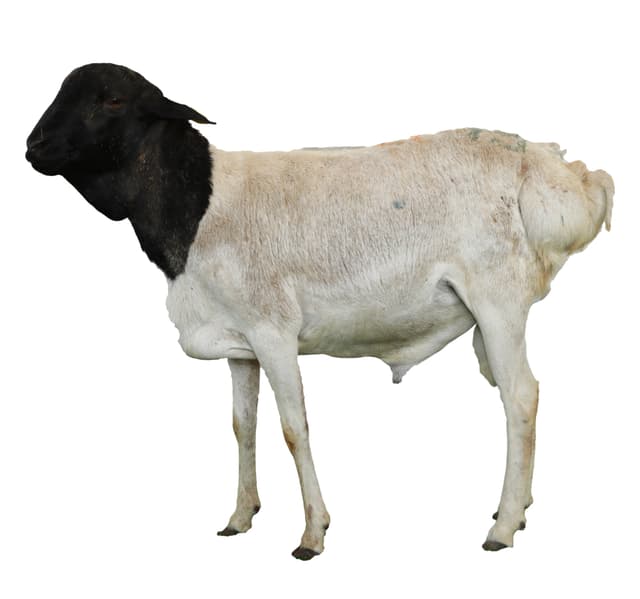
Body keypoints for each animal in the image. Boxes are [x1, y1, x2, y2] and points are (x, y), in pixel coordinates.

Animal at [25, 63, 614, 560]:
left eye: (113, 100)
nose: (34, 146)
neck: (197, 207)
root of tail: (556, 170)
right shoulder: (241, 345)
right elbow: (243, 425)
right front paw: (240, 517)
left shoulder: (274, 332)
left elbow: (293, 427)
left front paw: (312, 534)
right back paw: (514, 511)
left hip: (498, 299)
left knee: (521, 397)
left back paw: (502, 528)